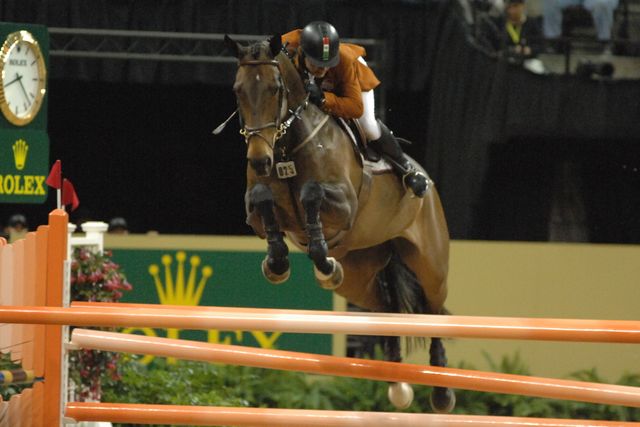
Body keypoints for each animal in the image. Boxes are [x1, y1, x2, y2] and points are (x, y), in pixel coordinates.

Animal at [224, 34, 454, 413]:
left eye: (275, 89)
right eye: (238, 90)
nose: (259, 160)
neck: (286, 146)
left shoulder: (345, 205)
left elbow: (312, 194)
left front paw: (319, 258)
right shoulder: (255, 211)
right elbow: (262, 200)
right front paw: (278, 263)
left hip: (430, 265)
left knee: (434, 312)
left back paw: (441, 390)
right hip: (359, 275)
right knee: (386, 308)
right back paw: (395, 381)